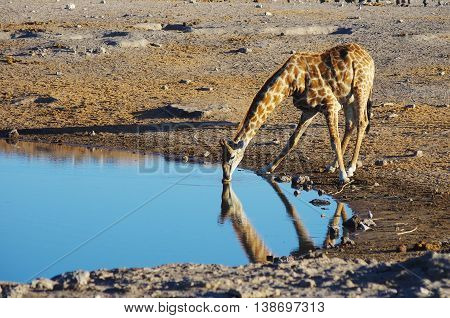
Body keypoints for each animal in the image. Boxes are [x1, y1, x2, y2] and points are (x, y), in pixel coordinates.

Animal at [220, 43, 374, 185]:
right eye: (222, 157)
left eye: (232, 156)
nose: (225, 178)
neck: (290, 82)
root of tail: (370, 59)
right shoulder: (310, 110)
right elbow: (292, 140)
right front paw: (266, 168)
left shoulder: (330, 104)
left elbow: (334, 140)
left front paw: (343, 176)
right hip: (348, 97)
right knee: (351, 124)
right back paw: (332, 165)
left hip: (361, 88)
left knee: (362, 122)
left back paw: (350, 168)